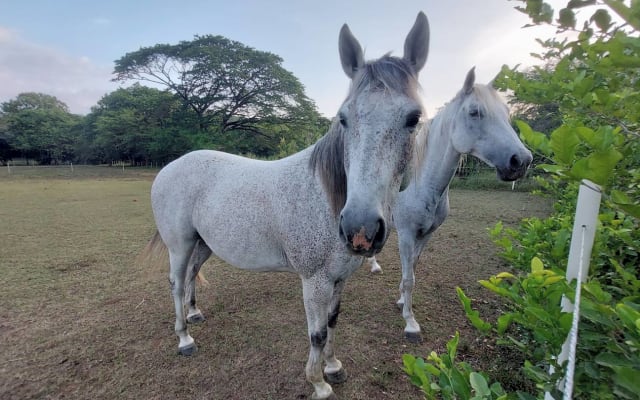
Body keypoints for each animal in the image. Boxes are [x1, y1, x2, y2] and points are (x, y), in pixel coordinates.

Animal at [141, 12, 430, 400]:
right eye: (344, 118)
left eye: (413, 118)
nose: (360, 229)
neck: (327, 199)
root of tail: (169, 168)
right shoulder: (315, 282)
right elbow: (317, 333)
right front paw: (318, 383)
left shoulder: (340, 278)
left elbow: (333, 322)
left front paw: (333, 366)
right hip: (180, 244)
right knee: (175, 282)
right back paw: (184, 338)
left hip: (203, 244)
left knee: (190, 277)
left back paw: (194, 315)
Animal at [368, 67, 532, 342]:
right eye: (474, 111)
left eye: (506, 112)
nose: (521, 160)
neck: (421, 184)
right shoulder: (406, 235)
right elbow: (409, 277)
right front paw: (410, 323)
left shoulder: (426, 235)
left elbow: (412, 270)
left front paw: (402, 301)